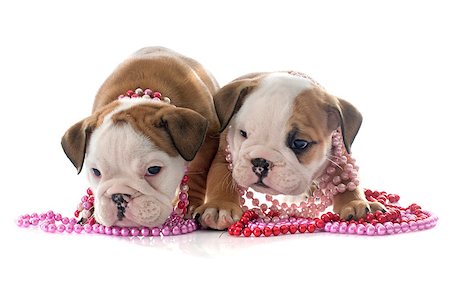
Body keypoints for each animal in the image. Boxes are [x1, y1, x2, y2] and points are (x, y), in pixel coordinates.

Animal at [61, 46, 220, 228]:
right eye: (96, 172)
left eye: (153, 170)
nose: (119, 196)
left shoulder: (208, 141)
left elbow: (197, 173)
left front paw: (190, 205)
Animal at [195, 71, 384, 230]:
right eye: (243, 133)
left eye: (299, 143)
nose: (261, 161)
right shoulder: (224, 156)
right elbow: (220, 179)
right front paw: (220, 207)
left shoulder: (337, 156)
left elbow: (346, 180)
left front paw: (355, 203)